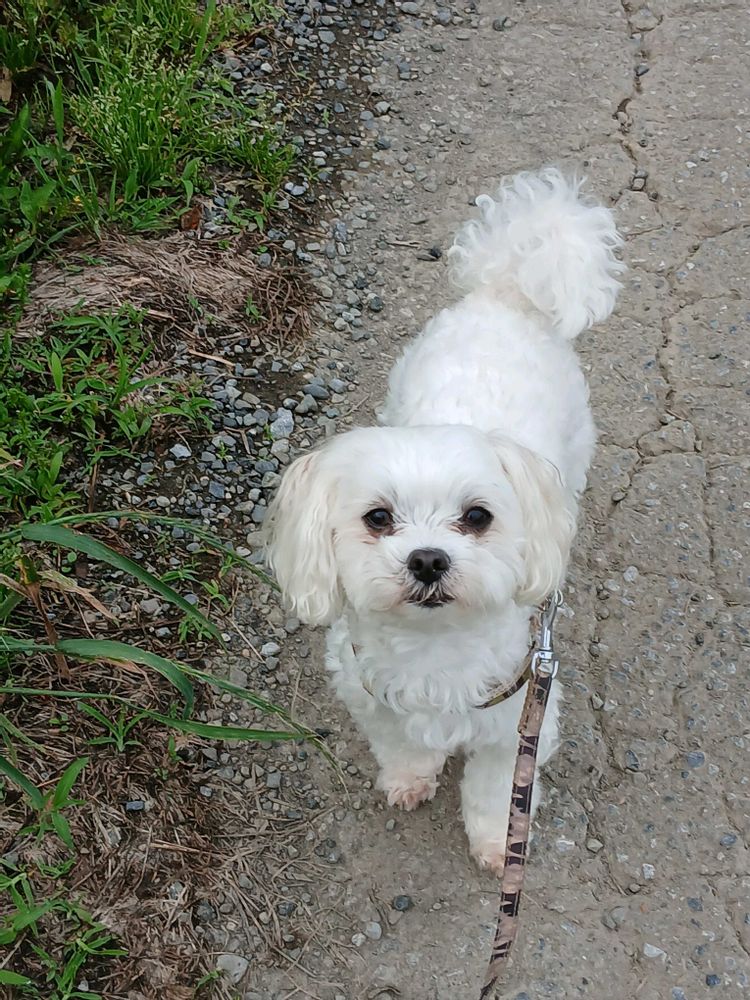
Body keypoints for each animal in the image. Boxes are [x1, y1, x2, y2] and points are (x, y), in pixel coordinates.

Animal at [265, 168, 623, 872]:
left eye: (478, 516)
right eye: (378, 517)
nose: (428, 559)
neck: (434, 653)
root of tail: (506, 293)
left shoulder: (520, 723)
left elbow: (498, 793)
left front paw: (495, 843)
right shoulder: (373, 698)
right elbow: (404, 746)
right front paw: (410, 778)